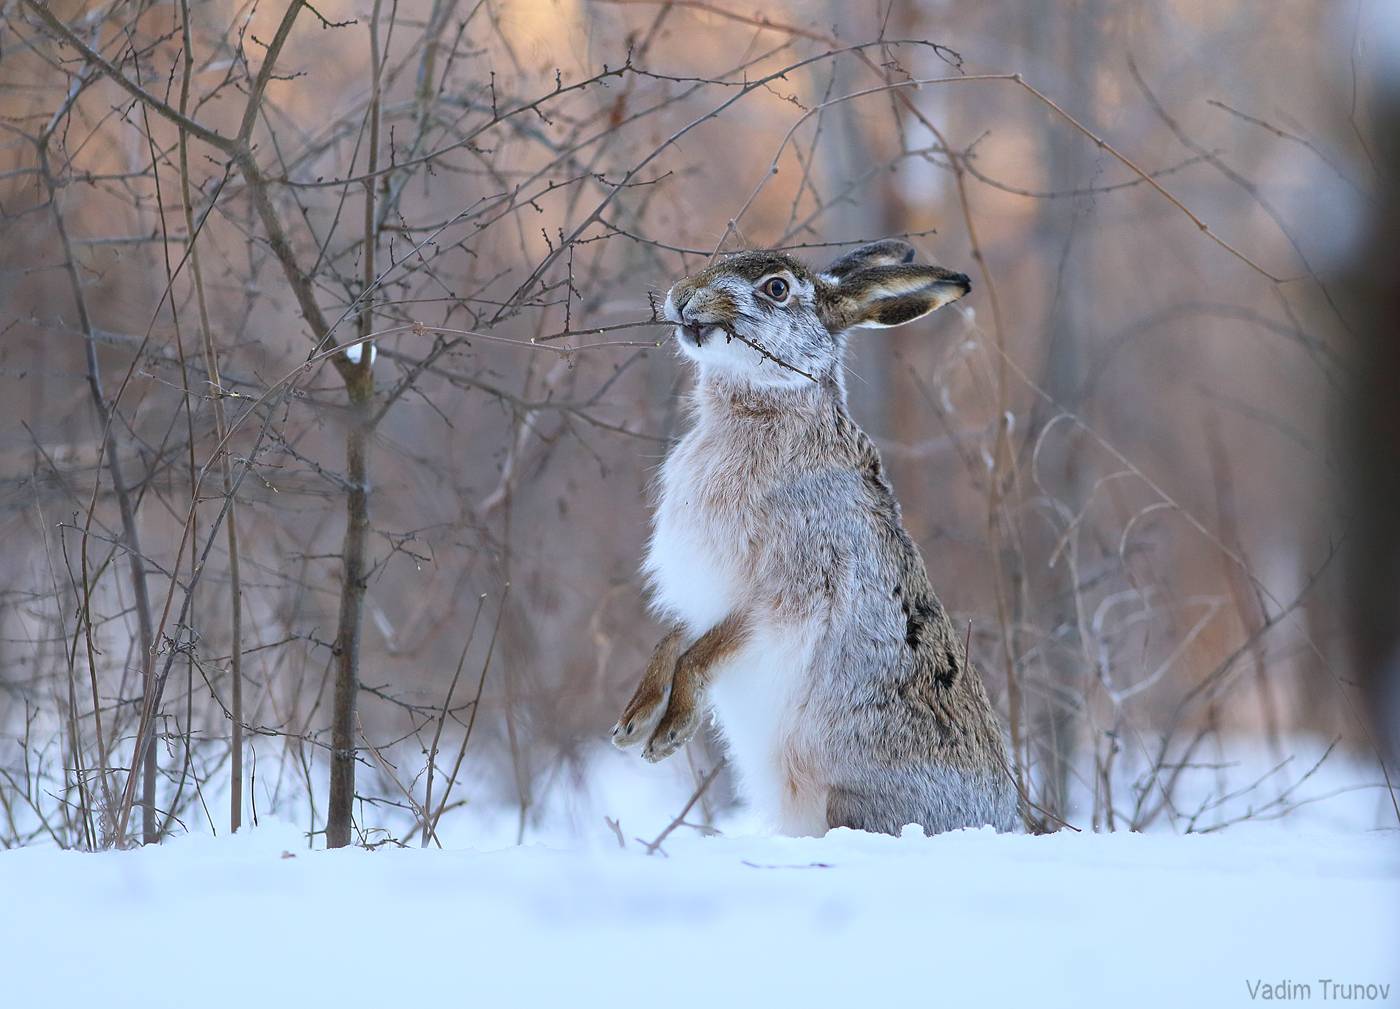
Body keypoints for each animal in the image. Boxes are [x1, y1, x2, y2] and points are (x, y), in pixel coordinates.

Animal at [611, 240, 1019, 837]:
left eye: (777, 289)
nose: (683, 297)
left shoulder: (787, 590)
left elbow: (702, 652)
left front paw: (670, 733)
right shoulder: (707, 587)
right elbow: (673, 639)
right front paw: (634, 721)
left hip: (849, 802)